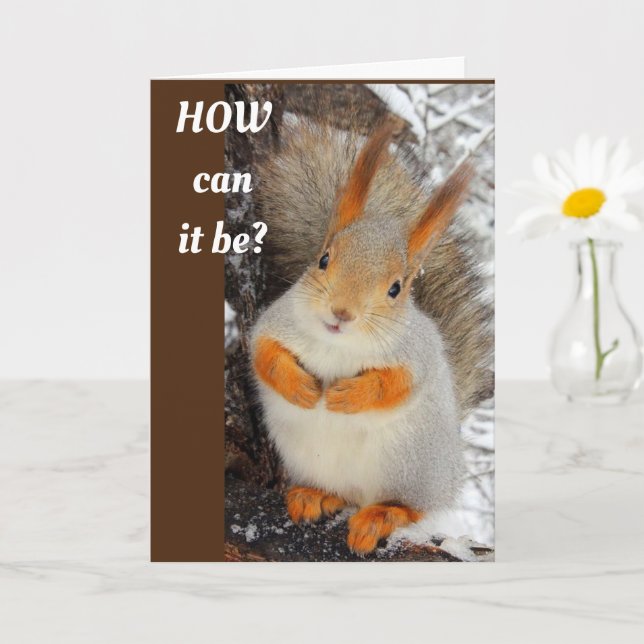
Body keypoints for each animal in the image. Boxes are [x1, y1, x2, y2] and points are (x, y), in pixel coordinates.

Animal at [250, 115, 492, 555]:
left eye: (396, 288)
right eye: (323, 259)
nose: (341, 312)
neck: (336, 343)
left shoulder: (418, 355)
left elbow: (396, 384)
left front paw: (348, 395)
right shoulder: (274, 321)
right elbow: (263, 352)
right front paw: (301, 388)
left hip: (409, 466)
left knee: (410, 507)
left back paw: (383, 515)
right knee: (341, 493)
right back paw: (316, 495)